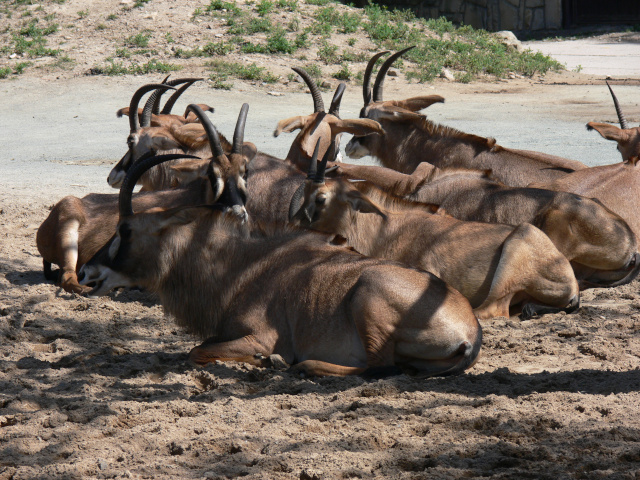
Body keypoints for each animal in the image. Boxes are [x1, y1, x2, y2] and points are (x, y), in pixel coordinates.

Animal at [77, 154, 482, 378]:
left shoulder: (259, 335)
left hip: (367, 295)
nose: (86, 273)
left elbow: (197, 351)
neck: (241, 265)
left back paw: (303, 366)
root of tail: (470, 331)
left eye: (126, 229)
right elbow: (203, 345)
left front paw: (267, 360)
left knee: (380, 366)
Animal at [290, 149, 580, 322]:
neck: (387, 229)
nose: (294, 225)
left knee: (491, 310)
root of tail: (572, 282)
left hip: (515, 249)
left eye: (321, 198)